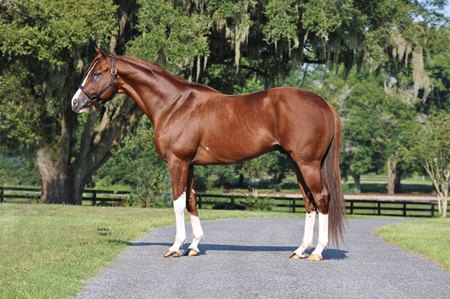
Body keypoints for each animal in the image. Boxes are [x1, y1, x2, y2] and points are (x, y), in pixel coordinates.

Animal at [72, 48, 344, 260]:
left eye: (97, 73)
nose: (76, 103)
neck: (173, 105)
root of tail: (324, 104)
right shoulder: (190, 164)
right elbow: (192, 201)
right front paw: (193, 246)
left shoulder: (177, 162)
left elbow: (178, 203)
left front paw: (175, 247)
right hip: (298, 164)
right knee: (309, 202)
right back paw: (301, 250)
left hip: (308, 164)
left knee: (321, 197)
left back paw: (317, 251)